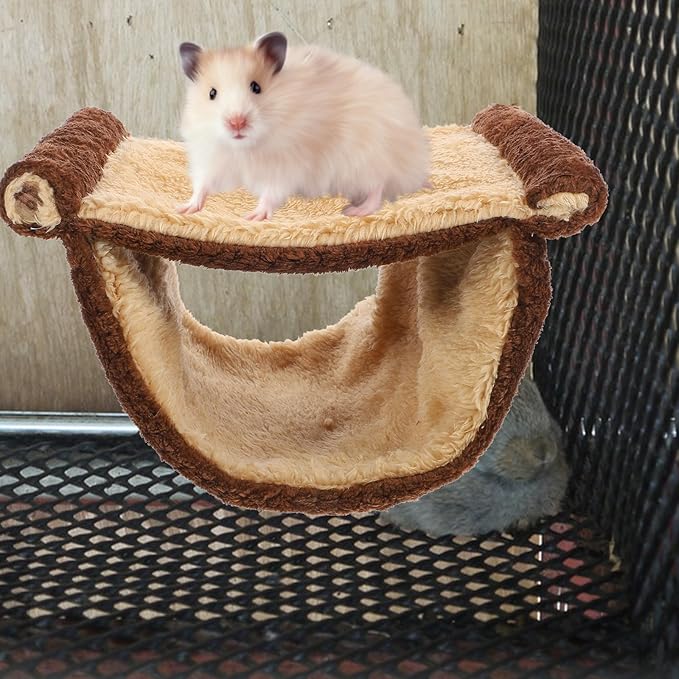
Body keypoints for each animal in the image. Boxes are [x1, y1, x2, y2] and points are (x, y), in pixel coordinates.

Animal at [177, 32, 430, 220]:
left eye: (256, 87)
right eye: (212, 93)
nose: (236, 122)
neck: (245, 147)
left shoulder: (285, 166)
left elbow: (270, 193)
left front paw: (253, 217)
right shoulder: (211, 158)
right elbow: (202, 185)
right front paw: (184, 208)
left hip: (368, 157)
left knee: (378, 186)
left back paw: (354, 211)